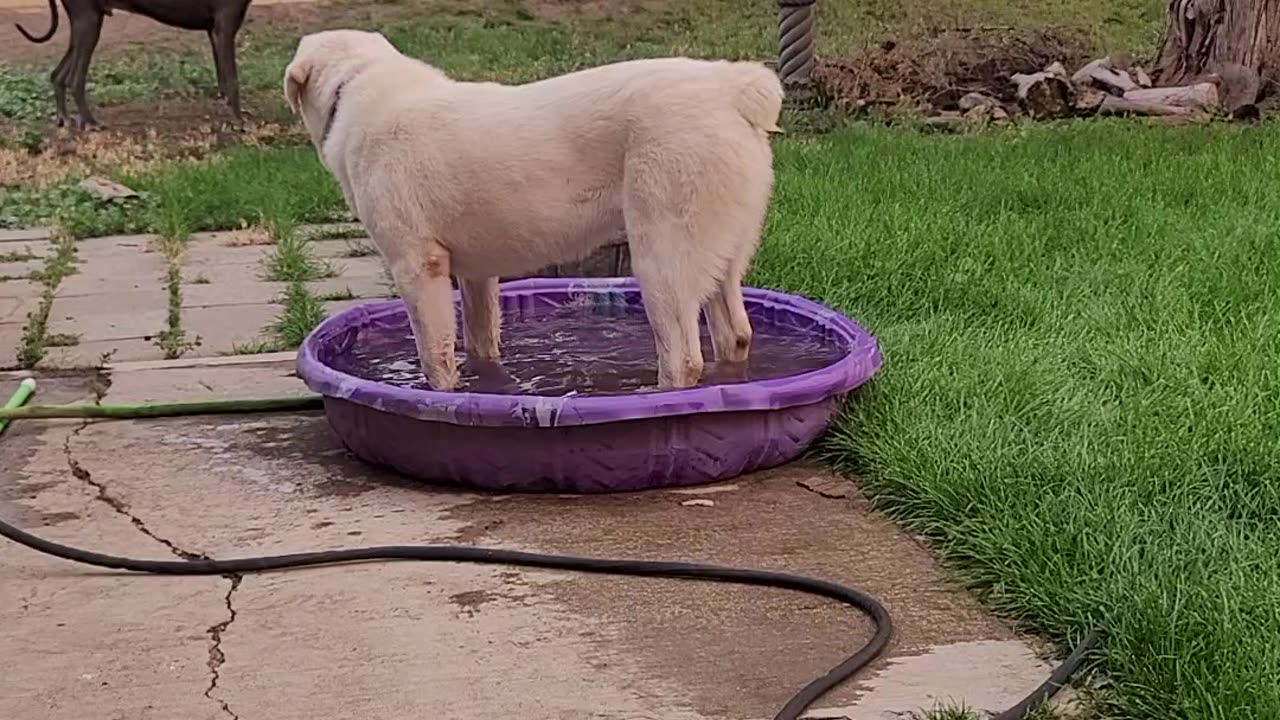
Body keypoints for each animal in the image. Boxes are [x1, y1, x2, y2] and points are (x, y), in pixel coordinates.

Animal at [15, 0, 252, 127]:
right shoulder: (224, 30)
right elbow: (233, 81)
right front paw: (240, 123)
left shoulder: (214, 32)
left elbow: (223, 80)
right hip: (89, 23)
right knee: (75, 79)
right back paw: (90, 123)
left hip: (85, 24)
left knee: (58, 75)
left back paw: (64, 119)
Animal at [282, 29, 778, 386]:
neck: (357, 81)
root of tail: (729, 86)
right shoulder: (477, 276)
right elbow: (480, 343)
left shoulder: (417, 267)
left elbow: (435, 359)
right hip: (721, 254)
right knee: (734, 334)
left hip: (662, 257)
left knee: (683, 358)